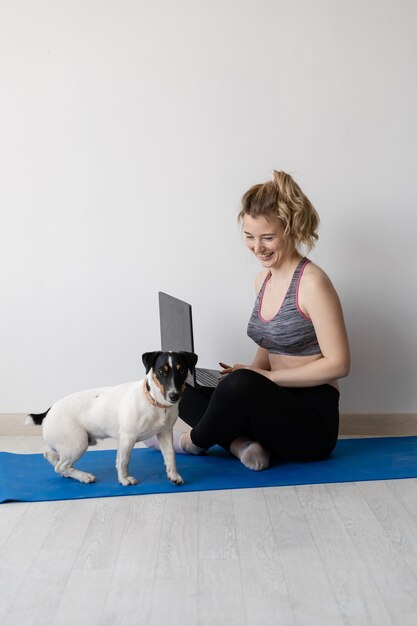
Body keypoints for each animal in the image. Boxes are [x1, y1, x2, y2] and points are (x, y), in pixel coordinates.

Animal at [26, 348, 198, 486]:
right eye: (162, 371)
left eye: (181, 371)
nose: (174, 396)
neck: (154, 402)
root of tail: (49, 411)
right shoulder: (127, 438)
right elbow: (123, 461)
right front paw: (124, 479)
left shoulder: (165, 433)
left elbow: (170, 456)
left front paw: (173, 475)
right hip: (77, 443)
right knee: (60, 466)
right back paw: (83, 476)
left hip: (70, 445)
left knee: (52, 457)